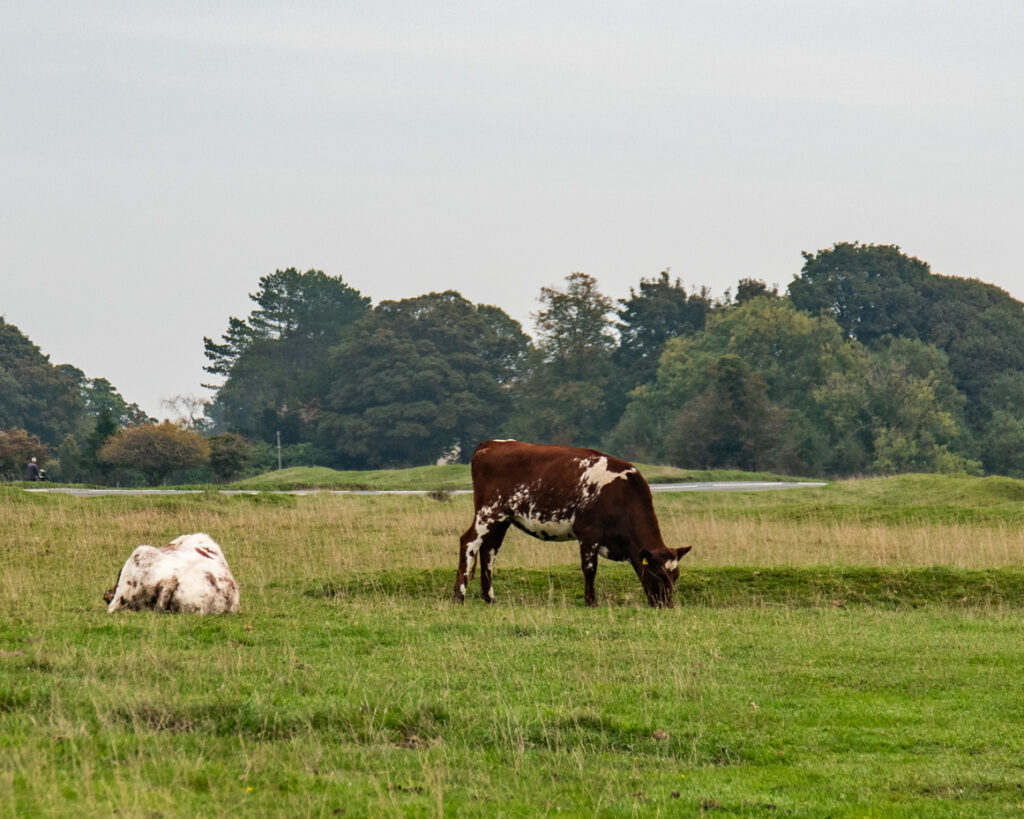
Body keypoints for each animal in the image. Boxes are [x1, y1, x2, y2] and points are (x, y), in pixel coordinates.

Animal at [453, 440, 691, 608]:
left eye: (675, 576)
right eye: (658, 574)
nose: (666, 604)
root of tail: (491, 444)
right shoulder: (588, 532)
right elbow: (590, 568)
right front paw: (591, 601)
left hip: (502, 519)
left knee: (489, 551)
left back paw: (490, 598)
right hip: (488, 512)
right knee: (469, 542)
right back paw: (459, 596)